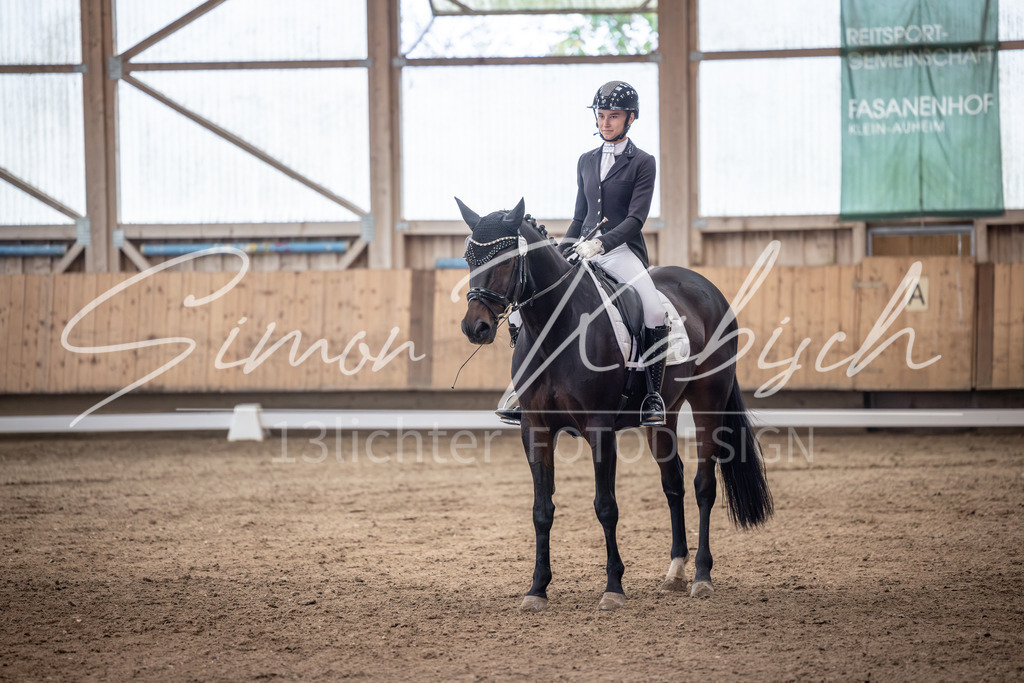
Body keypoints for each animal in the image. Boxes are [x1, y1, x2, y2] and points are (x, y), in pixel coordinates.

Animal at [457, 197, 773, 612]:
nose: (474, 328)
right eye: (469, 258)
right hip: (664, 416)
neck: (556, 329)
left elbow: (605, 505)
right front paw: (537, 589)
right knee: (673, 482)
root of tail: (708, 289)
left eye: (507, 259)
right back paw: (675, 572)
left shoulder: (600, 429)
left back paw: (701, 577)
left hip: (710, 401)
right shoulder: (535, 428)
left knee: (704, 484)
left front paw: (613, 587)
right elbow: (542, 510)